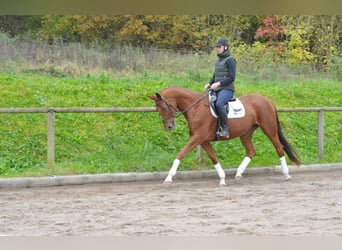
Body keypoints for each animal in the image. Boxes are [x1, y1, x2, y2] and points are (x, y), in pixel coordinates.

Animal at [148, 87, 300, 185]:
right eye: (158, 109)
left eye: (164, 108)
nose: (169, 127)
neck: (195, 108)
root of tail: (267, 101)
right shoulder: (203, 141)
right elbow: (213, 158)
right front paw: (222, 178)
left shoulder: (197, 138)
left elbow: (180, 154)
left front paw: (169, 177)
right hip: (246, 133)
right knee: (251, 151)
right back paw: (238, 173)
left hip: (269, 129)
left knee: (279, 147)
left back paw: (286, 174)